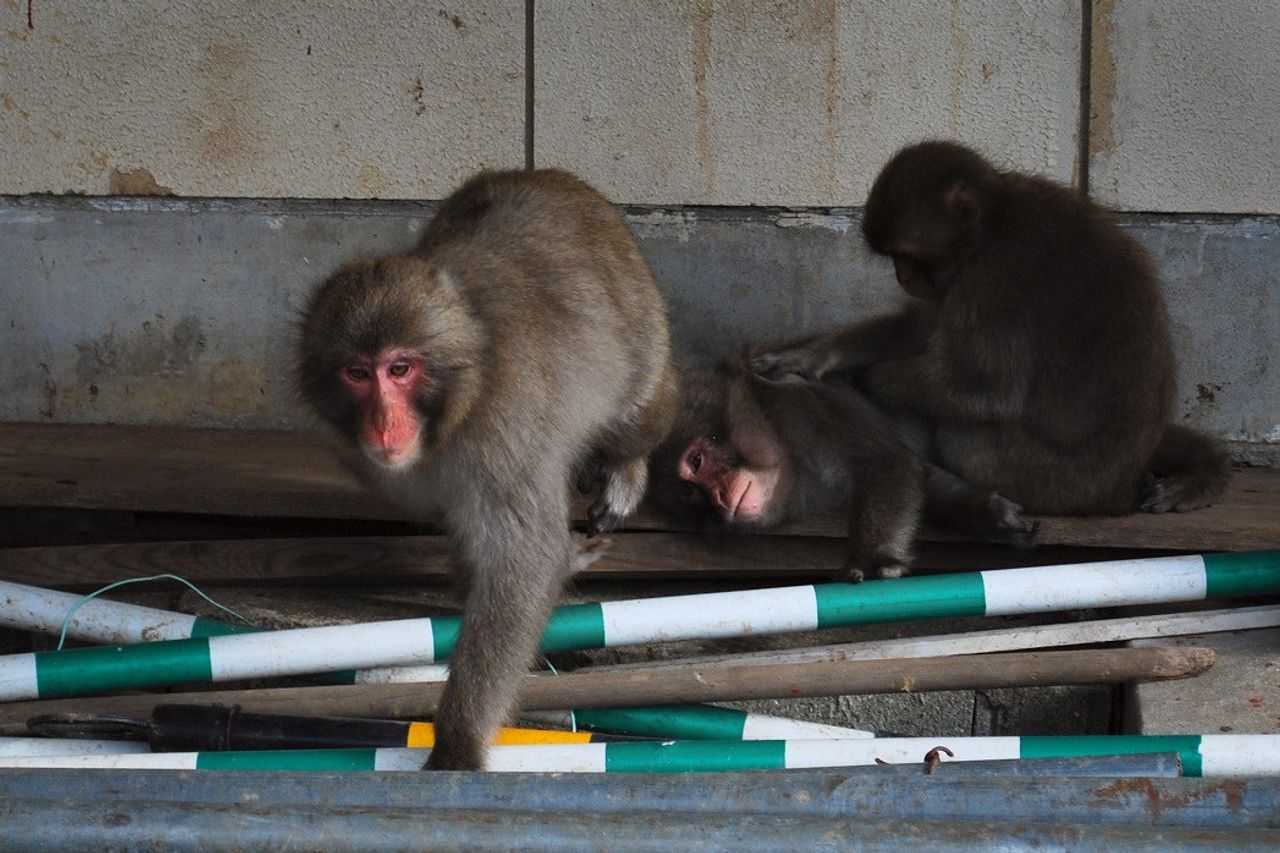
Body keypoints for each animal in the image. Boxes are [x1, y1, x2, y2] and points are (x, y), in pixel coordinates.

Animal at [295, 169, 678, 770]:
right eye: (357, 373)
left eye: (400, 369)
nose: (383, 424)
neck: (461, 398)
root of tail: (546, 174)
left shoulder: (503, 432)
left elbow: (524, 557)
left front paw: (458, 739)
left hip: (641, 324)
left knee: (636, 412)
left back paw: (627, 465)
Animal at [648, 358, 1038, 582]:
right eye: (689, 492)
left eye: (696, 462)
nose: (716, 495)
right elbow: (922, 474)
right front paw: (989, 513)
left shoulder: (809, 404)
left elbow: (886, 459)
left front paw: (875, 556)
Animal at [751, 141, 1230, 516]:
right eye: (893, 258)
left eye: (908, 255)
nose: (902, 275)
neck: (996, 219)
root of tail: (1117, 490)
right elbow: (921, 327)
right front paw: (812, 358)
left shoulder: (991, 279)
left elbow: (989, 391)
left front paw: (871, 380)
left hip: (1044, 479)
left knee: (964, 435)